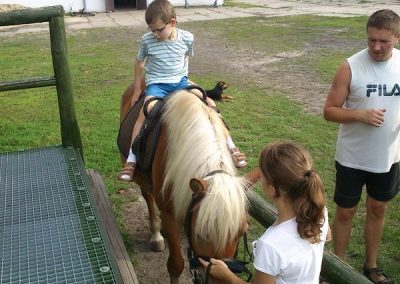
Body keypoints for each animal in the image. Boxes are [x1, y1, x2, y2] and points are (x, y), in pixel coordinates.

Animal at [119, 81, 260, 282]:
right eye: (201, 235)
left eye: (241, 233)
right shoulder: (169, 213)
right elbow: (176, 265)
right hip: (139, 176)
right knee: (148, 196)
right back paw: (156, 235)